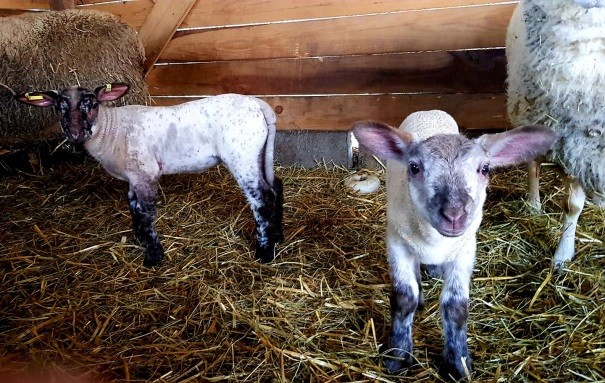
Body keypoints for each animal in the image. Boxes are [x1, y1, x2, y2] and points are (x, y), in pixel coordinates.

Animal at [17, 84, 284, 268]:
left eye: (92, 104)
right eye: (59, 107)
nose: (75, 134)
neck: (111, 129)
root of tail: (259, 105)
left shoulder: (146, 173)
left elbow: (146, 213)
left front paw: (154, 256)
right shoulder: (134, 175)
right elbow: (133, 205)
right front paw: (140, 238)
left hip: (242, 155)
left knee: (261, 199)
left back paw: (264, 252)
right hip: (259, 153)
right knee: (275, 187)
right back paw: (278, 236)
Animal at [352, 111, 556, 380]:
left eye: (485, 168)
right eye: (414, 167)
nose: (454, 215)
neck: (435, 240)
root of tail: (428, 111)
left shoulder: (465, 250)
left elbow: (455, 307)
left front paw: (458, 364)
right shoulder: (396, 243)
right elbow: (404, 298)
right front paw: (398, 356)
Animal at [504, 0, 604, 268]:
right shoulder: (575, 142)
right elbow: (572, 206)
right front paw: (562, 256)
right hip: (532, 112)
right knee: (533, 165)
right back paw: (534, 206)